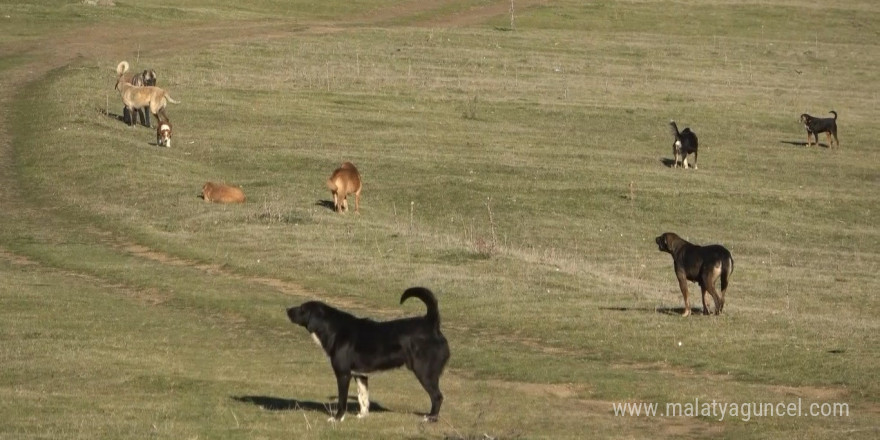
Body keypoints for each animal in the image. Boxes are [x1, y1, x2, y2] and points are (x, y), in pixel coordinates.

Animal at [288, 288, 450, 422]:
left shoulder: (343, 374)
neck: (333, 329)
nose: (287, 309)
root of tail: (431, 323)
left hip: (425, 372)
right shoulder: (360, 375)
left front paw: (338, 418)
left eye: (302, 309)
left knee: (437, 397)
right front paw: (362, 416)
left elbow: (342, 400)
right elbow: (363, 397)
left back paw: (431, 418)